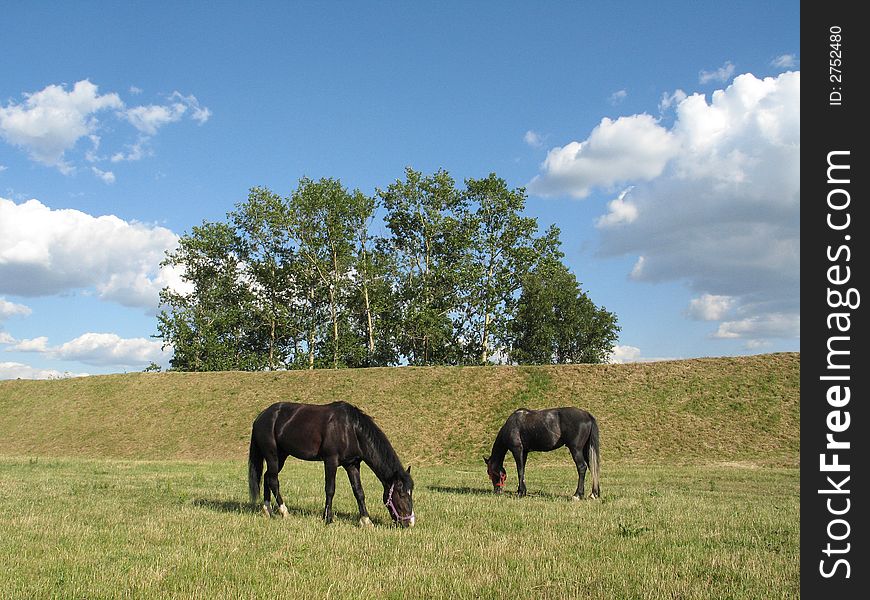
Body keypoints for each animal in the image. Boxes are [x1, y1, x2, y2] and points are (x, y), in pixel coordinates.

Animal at [250, 400, 418, 528]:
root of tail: (261, 416)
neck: (350, 429)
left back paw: (267, 510)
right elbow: (330, 489)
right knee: (273, 480)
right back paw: (284, 512)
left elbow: (359, 492)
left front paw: (366, 520)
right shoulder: (330, 461)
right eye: (402, 494)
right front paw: (328, 518)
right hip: (272, 455)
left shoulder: (352, 465)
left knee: (267, 477)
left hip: (281, 456)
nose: (410, 523)